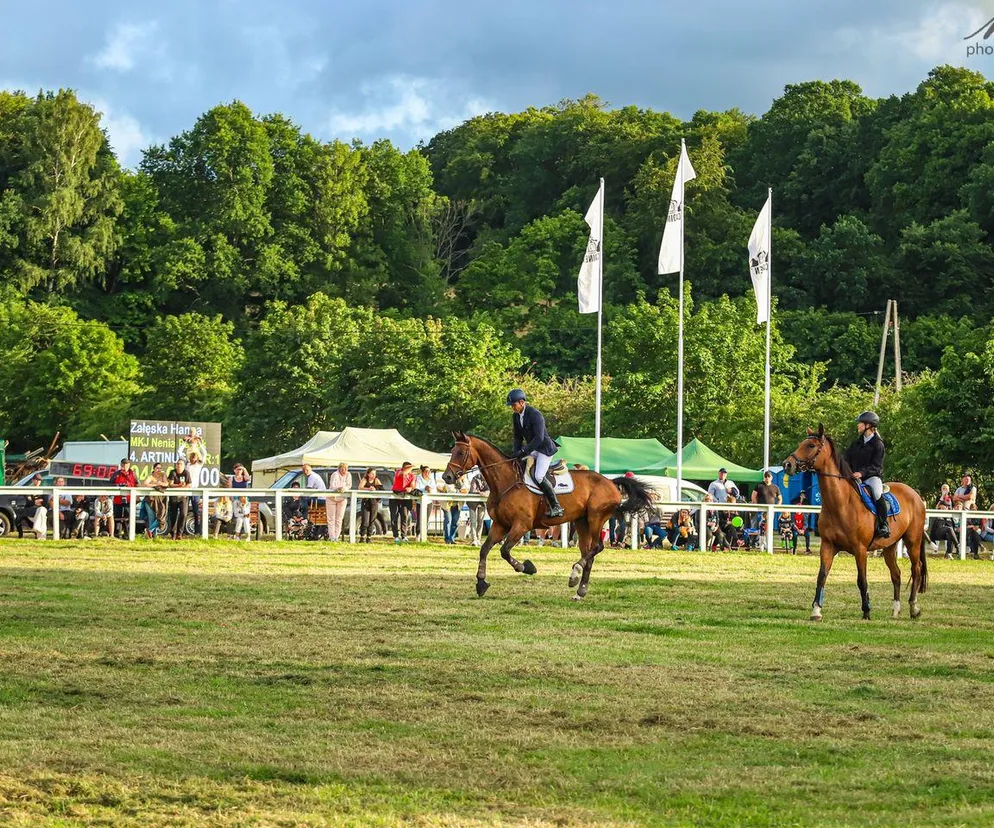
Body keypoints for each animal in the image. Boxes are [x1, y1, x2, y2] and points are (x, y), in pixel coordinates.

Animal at [442, 430, 652, 600]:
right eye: (452, 451)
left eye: (460, 452)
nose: (447, 477)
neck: (506, 482)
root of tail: (611, 482)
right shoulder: (499, 525)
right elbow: (484, 550)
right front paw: (481, 583)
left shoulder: (521, 526)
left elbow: (504, 551)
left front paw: (526, 567)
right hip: (582, 521)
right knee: (588, 553)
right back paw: (580, 590)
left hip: (596, 518)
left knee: (597, 547)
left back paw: (574, 573)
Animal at [784, 426, 928, 620]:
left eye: (811, 445)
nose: (787, 464)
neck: (841, 504)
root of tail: (915, 495)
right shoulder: (827, 546)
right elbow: (822, 576)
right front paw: (816, 610)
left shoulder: (860, 550)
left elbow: (862, 580)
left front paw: (866, 610)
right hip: (889, 547)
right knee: (896, 574)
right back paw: (896, 610)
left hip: (913, 542)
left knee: (916, 570)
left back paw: (914, 608)